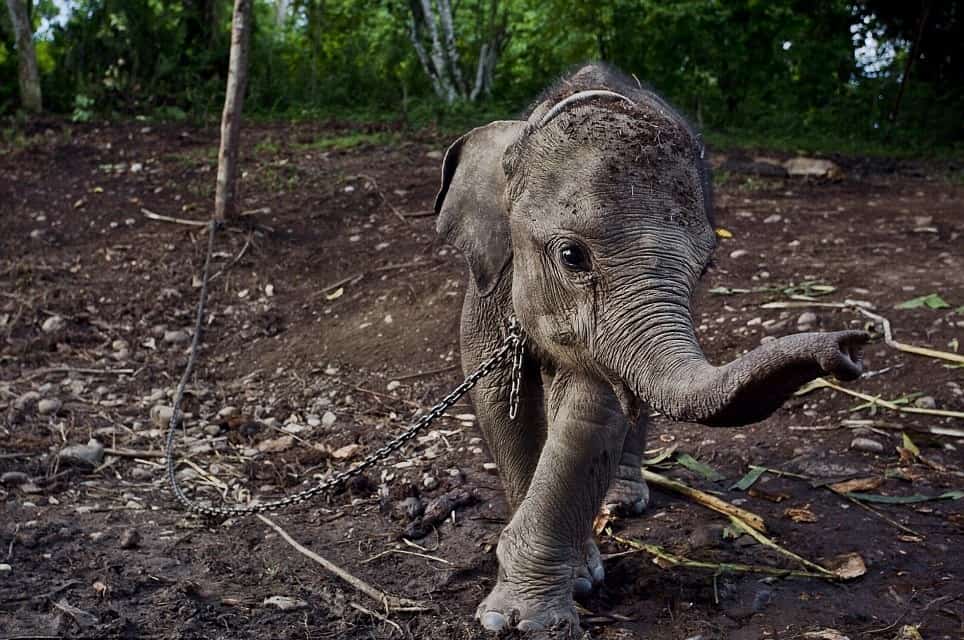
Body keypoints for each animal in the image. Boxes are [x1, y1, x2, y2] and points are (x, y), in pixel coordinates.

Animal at [433, 63, 867, 634]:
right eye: (571, 256)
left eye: (705, 267)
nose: (849, 347)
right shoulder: (488, 279)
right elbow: (497, 396)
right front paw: (529, 606)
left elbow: (593, 412)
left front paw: (533, 616)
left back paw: (622, 500)